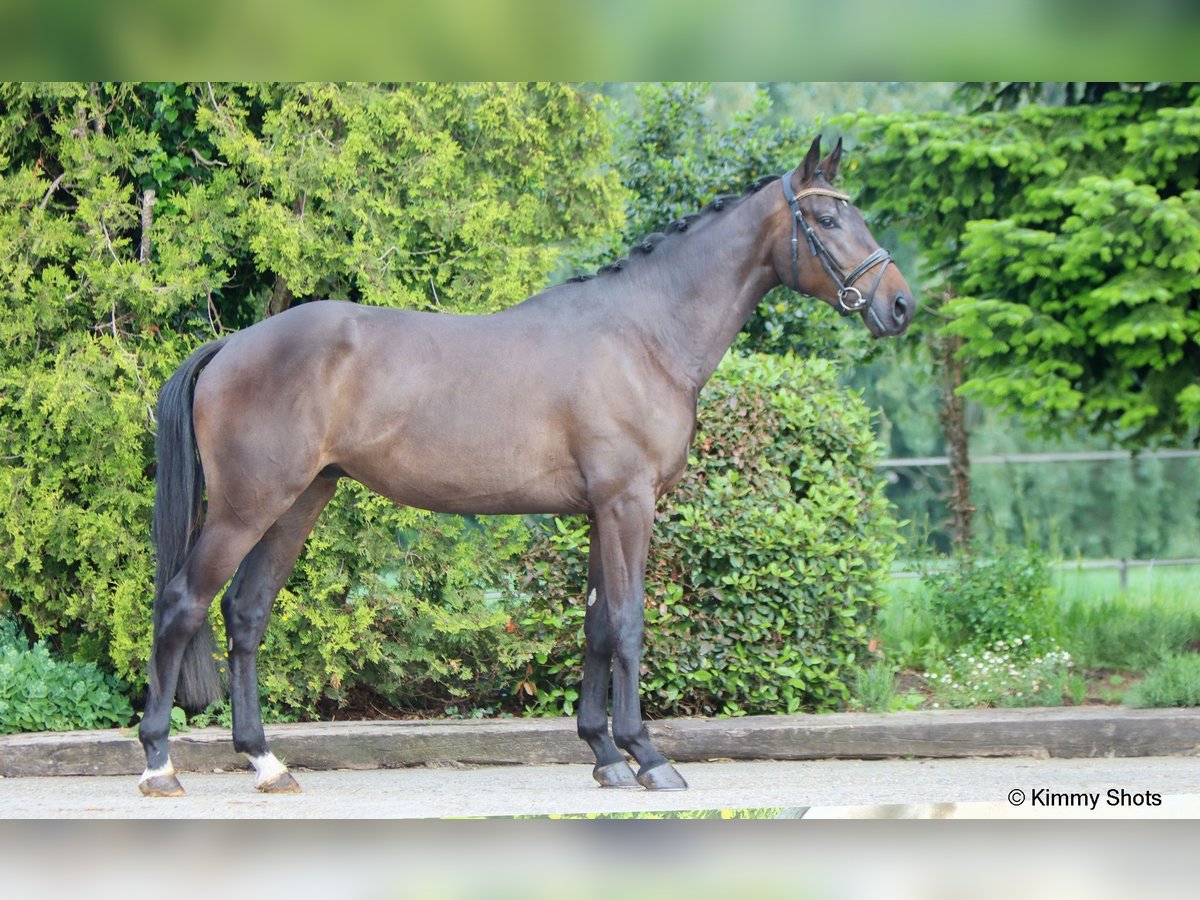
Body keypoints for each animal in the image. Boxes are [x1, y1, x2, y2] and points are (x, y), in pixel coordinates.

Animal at [138, 133, 907, 796]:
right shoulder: (629, 503)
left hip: (299, 501)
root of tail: (233, 344)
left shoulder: (601, 512)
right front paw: (649, 757)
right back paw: (158, 764)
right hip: (247, 506)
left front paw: (605, 755)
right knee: (181, 605)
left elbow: (597, 627)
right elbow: (628, 623)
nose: (899, 304)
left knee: (245, 614)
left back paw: (266, 761)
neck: (644, 334)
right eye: (829, 218)